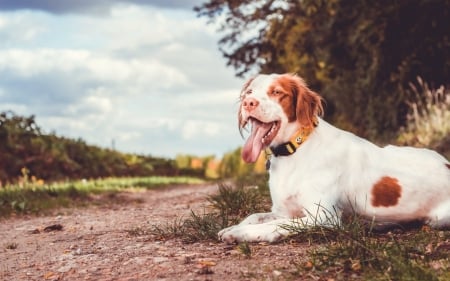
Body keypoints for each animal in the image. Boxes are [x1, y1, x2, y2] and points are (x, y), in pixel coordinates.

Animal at [218, 72, 450, 243]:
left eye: (276, 92)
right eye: (249, 91)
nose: (248, 102)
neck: (296, 150)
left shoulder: (324, 216)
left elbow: (272, 224)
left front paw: (239, 233)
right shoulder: (284, 211)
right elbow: (255, 216)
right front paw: (233, 227)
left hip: (439, 219)